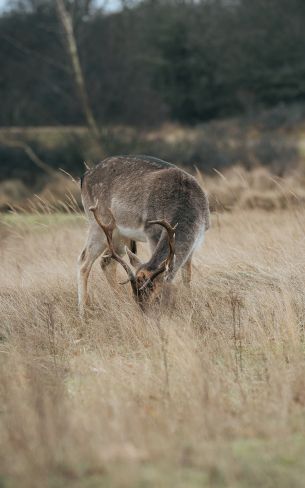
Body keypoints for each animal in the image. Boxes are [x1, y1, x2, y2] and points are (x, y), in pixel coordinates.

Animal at [77, 157, 209, 312]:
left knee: (106, 262)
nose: (144, 312)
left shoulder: (196, 242)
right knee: (83, 260)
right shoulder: (152, 231)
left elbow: (186, 276)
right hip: (97, 223)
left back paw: (120, 301)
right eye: (136, 297)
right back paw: (82, 311)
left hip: (118, 235)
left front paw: (189, 302)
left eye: (156, 296)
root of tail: (84, 176)